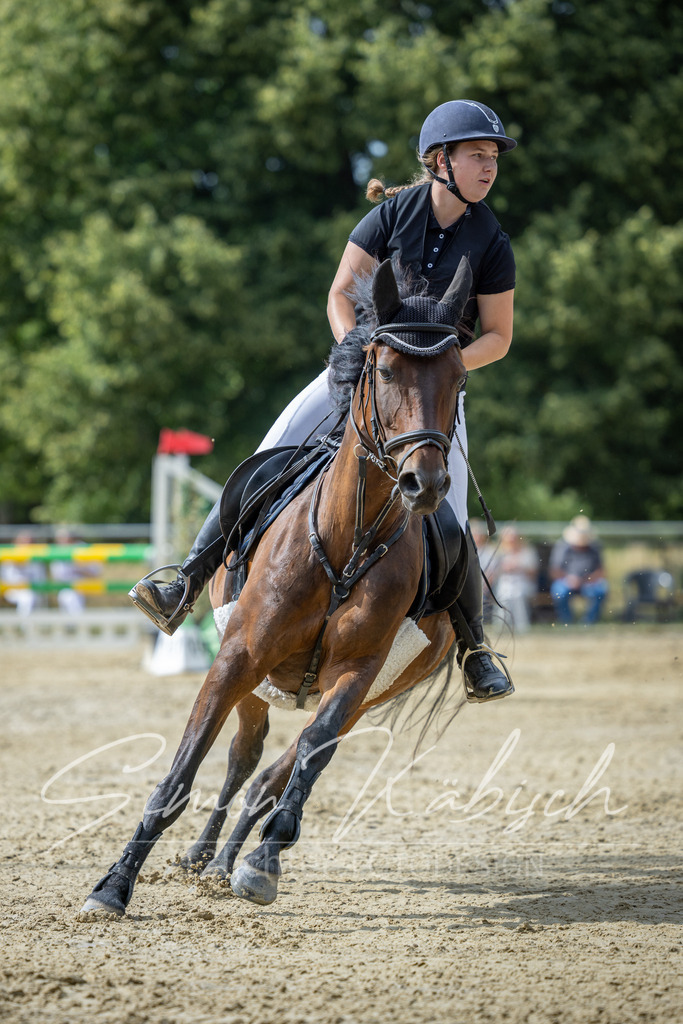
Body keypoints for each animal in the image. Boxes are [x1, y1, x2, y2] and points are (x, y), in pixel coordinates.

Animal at [81, 256, 472, 915]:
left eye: (459, 378)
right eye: (384, 369)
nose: (425, 483)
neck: (347, 542)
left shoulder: (358, 672)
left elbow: (312, 749)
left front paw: (264, 861)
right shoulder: (239, 655)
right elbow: (181, 773)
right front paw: (114, 885)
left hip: (370, 693)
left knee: (275, 769)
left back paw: (232, 861)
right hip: (255, 676)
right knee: (245, 755)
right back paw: (202, 856)